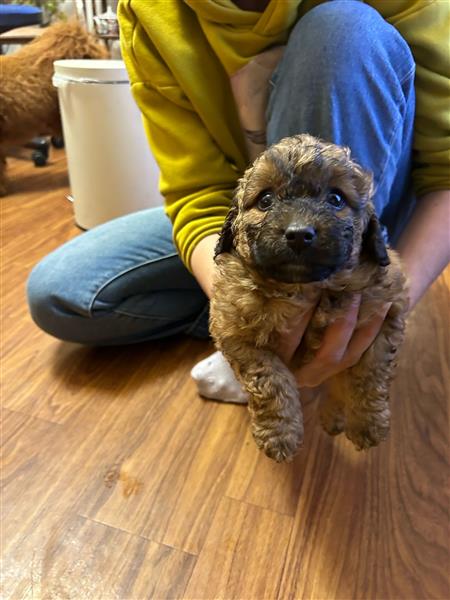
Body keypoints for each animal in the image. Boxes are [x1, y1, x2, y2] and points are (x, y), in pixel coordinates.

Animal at [209, 136, 410, 462]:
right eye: (265, 200)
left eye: (336, 199)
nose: (299, 234)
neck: (304, 287)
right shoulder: (235, 333)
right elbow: (270, 380)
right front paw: (279, 434)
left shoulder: (387, 311)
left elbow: (371, 371)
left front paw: (367, 423)